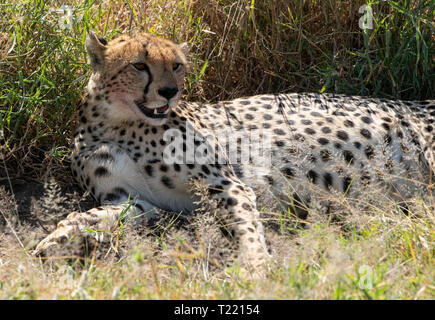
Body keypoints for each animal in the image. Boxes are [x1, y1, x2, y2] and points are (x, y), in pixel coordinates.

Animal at [31, 32, 435, 272]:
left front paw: (257, 266)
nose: (169, 92)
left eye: (176, 65)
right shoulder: (133, 200)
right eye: (139, 65)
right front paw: (58, 238)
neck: (117, 125)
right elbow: (93, 215)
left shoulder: (228, 184)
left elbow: (247, 225)